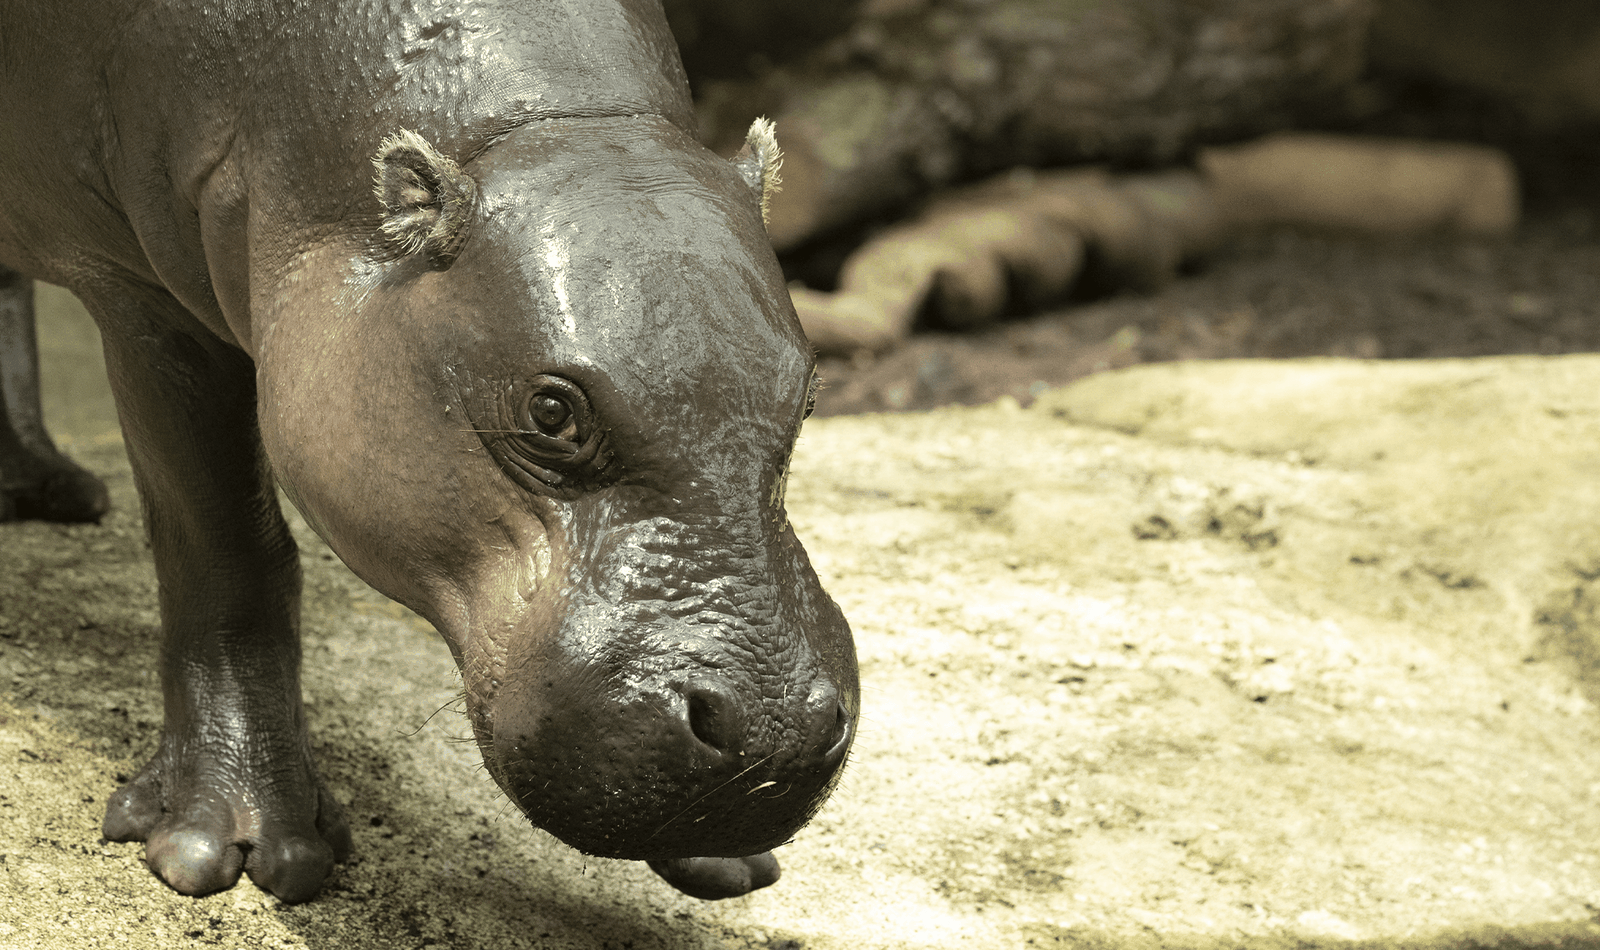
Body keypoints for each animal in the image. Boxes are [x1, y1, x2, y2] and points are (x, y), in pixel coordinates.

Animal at [0, 0, 857, 902]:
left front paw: (724, 863)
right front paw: (228, 850)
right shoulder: (146, 298)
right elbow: (225, 551)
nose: (771, 729)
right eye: (551, 411)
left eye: (807, 393)